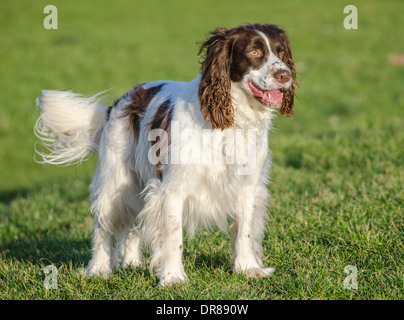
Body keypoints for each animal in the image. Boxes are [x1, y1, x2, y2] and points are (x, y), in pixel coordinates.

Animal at [34, 23, 296, 286]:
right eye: (254, 52)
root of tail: (120, 101)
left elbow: (244, 231)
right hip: (116, 181)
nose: (285, 75)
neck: (231, 120)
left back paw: (131, 263)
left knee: (134, 224)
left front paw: (247, 268)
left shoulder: (248, 186)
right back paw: (98, 269)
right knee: (103, 226)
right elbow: (172, 235)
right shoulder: (172, 188)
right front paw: (172, 277)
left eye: (281, 52)